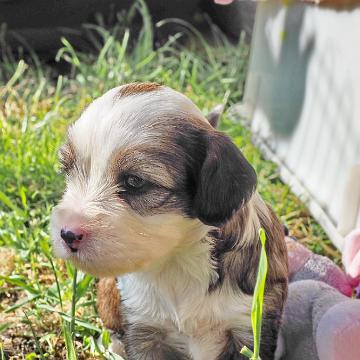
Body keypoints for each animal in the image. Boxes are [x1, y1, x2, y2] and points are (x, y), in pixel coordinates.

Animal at [51, 82, 286, 360]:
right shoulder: (144, 328)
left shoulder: (248, 329)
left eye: (135, 181)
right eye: (67, 170)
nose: (66, 233)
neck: (177, 260)